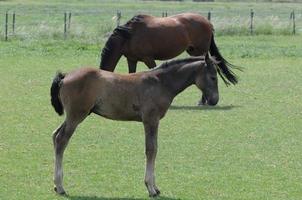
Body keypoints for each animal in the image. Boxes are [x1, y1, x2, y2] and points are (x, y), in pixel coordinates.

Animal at [50, 55, 218, 197]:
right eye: (213, 77)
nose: (214, 100)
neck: (160, 83)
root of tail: (65, 76)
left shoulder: (153, 121)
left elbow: (154, 148)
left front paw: (155, 187)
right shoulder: (151, 120)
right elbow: (151, 149)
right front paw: (150, 188)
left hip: (72, 116)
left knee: (55, 135)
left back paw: (56, 185)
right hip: (76, 116)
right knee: (61, 140)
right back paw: (61, 187)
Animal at [99, 12, 238, 104]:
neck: (130, 35)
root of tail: (207, 22)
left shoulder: (148, 59)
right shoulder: (132, 59)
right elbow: (131, 74)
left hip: (201, 52)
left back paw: (202, 101)